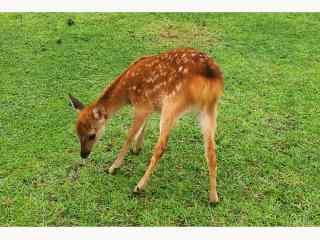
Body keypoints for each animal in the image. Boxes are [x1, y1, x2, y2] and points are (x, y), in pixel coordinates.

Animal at [69, 47, 225, 203]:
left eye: (92, 135)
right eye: (76, 133)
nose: (83, 154)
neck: (127, 92)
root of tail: (209, 74)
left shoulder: (141, 105)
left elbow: (129, 136)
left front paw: (113, 167)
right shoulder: (150, 106)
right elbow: (144, 125)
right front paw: (137, 148)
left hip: (172, 104)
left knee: (161, 147)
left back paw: (139, 186)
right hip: (209, 109)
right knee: (211, 150)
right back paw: (213, 197)